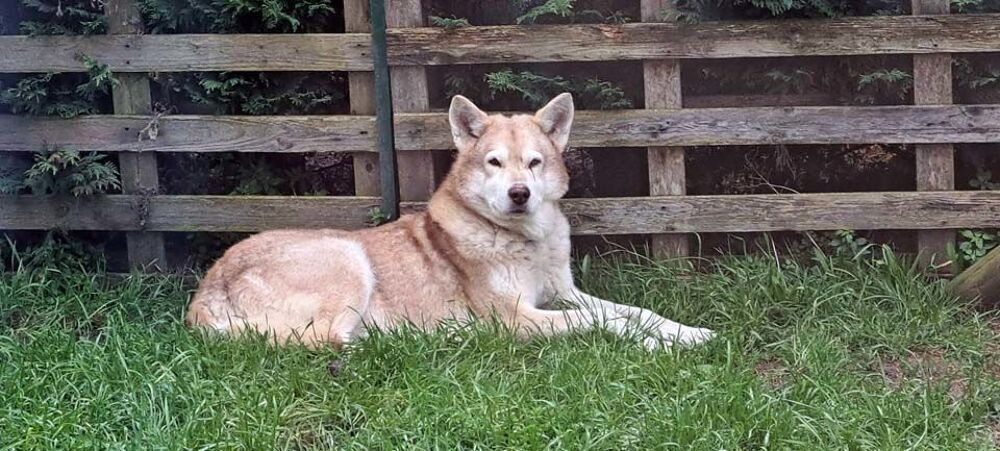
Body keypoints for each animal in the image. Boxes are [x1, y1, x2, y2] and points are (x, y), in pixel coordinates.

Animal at [188, 92, 716, 350]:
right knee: (325, 340)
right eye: (494, 163)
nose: (520, 194)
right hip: (347, 259)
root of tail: (205, 292)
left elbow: (634, 311)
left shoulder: (563, 293)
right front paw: (653, 345)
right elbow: (597, 323)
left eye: (535, 162)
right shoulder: (518, 317)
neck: (522, 240)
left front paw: (688, 333)